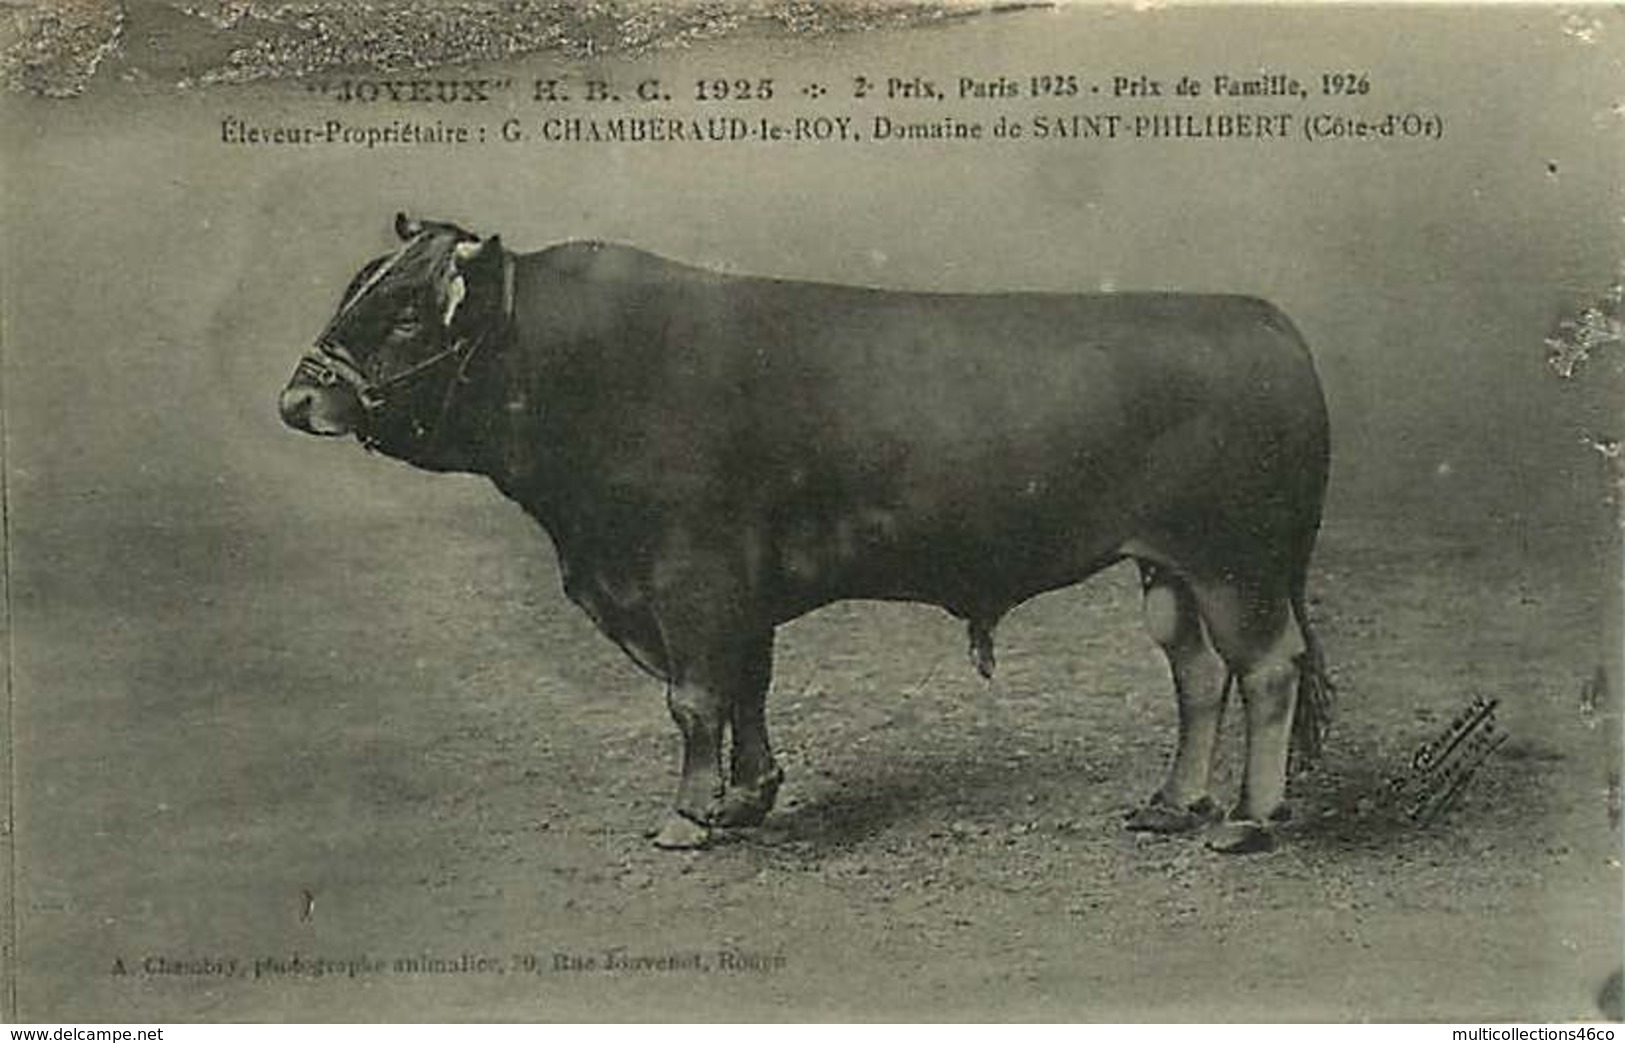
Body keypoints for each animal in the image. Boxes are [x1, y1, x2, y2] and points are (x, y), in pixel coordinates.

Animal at [279, 214, 1332, 851]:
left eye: (406, 316)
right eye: (356, 287)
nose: (298, 399)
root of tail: (1262, 318)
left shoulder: (691, 575)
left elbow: (695, 698)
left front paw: (689, 816)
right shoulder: (725, 590)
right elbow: (746, 687)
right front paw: (749, 794)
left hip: (1235, 562)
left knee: (1265, 669)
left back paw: (1248, 818)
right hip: (1168, 566)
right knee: (1194, 673)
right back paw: (1172, 802)